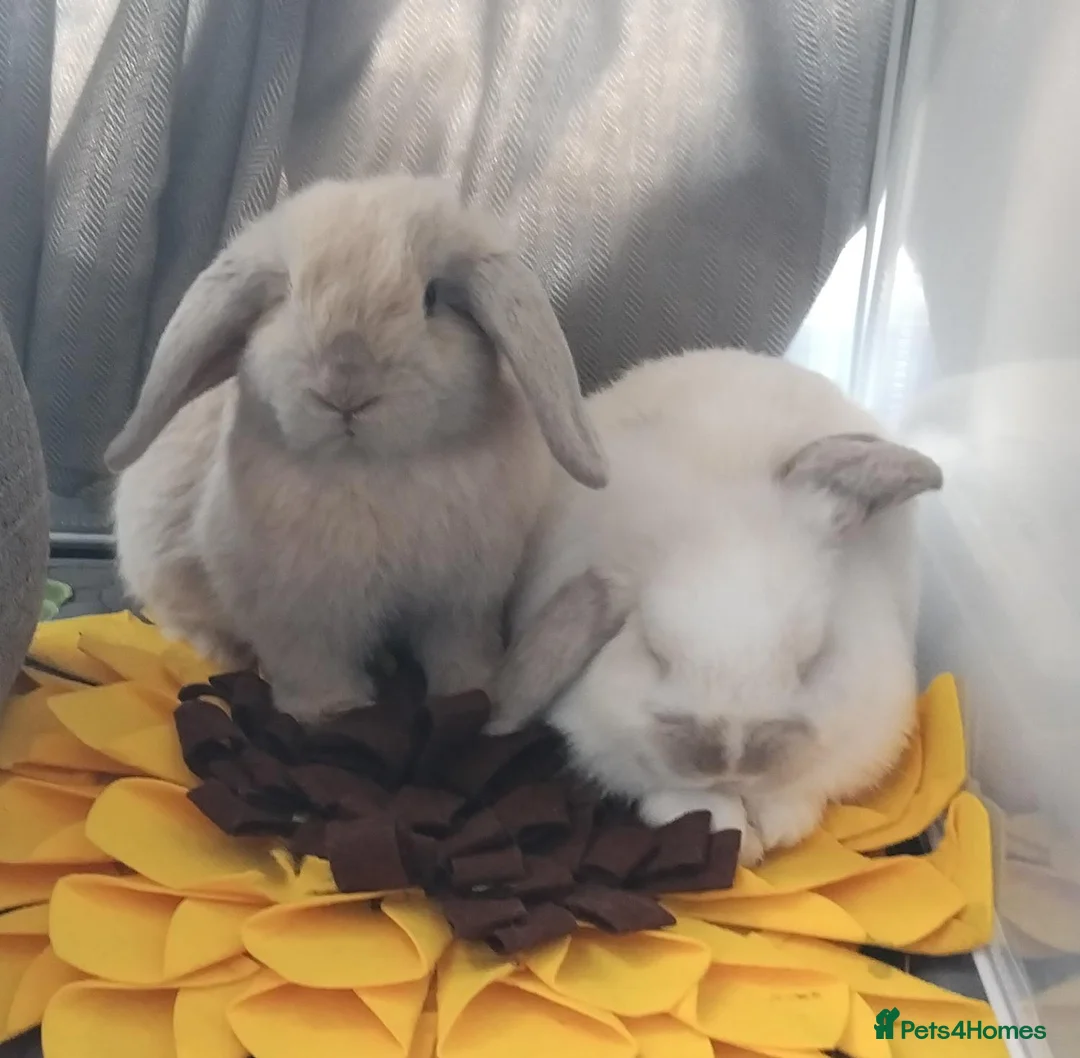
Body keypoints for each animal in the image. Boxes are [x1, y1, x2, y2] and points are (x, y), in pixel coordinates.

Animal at [106, 175, 607, 722]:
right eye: (287, 297)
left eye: (431, 297)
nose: (345, 386)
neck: (372, 468)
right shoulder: (298, 613)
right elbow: (313, 665)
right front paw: (333, 711)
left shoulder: (462, 603)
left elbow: (458, 652)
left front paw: (468, 693)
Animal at [490, 348, 942, 864]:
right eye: (654, 653)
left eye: (810, 660)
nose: (732, 757)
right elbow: (685, 799)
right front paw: (737, 837)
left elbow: (800, 787)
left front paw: (779, 829)